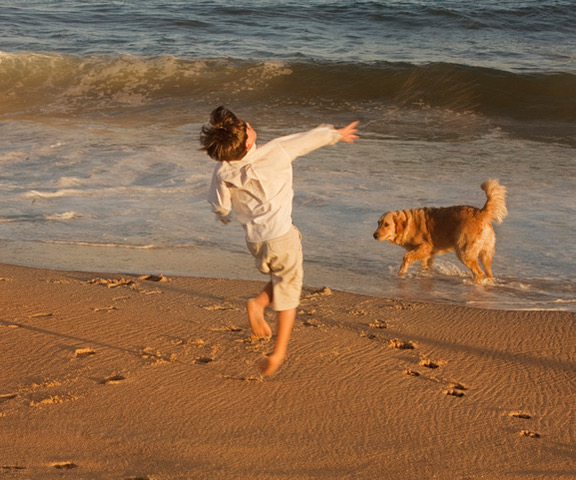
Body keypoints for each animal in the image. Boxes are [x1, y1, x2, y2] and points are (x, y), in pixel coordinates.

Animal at [374, 180, 504, 284]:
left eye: (386, 224)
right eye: (378, 223)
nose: (374, 235)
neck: (409, 224)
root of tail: (480, 212)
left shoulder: (427, 247)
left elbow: (406, 258)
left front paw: (401, 274)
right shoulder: (428, 255)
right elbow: (425, 266)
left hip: (464, 252)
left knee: (479, 273)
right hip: (486, 254)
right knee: (488, 273)